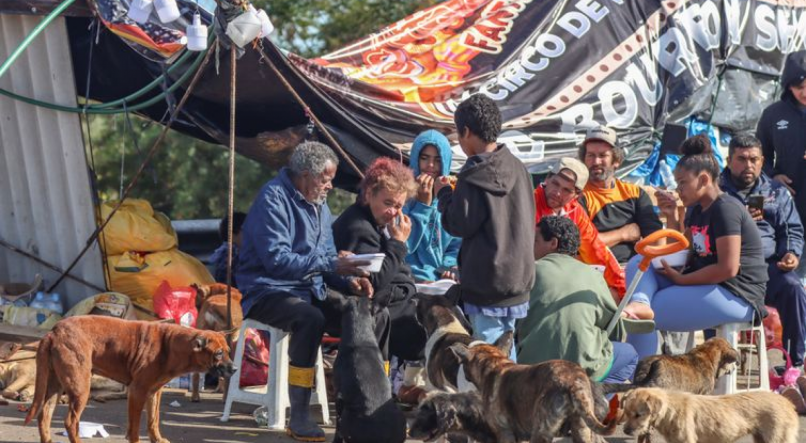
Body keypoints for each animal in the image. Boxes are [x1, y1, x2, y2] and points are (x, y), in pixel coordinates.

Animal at [22, 318, 237, 443]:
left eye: (228, 351)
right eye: (218, 353)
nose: (234, 369)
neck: (172, 346)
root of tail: (55, 331)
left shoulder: (154, 393)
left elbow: (153, 420)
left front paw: (157, 439)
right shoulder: (137, 392)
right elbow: (135, 427)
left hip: (55, 386)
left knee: (44, 416)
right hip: (80, 388)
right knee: (70, 422)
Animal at [620, 388, 800, 443]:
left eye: (638, 414)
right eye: (627, 413)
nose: (626, 431)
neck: (670, 410)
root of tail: (788, 403)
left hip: (778, 438)